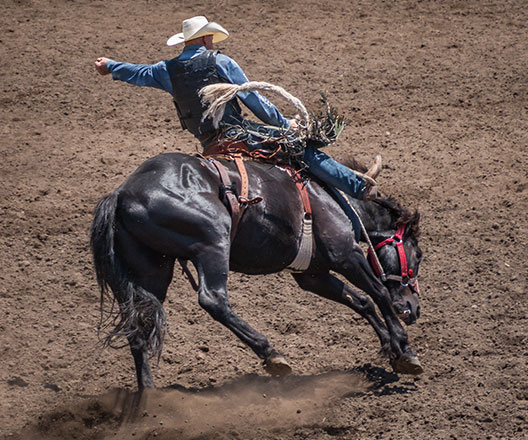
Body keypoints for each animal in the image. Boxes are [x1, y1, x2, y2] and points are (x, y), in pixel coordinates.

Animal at [88, 150, 422, 388]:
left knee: (139, 324)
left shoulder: (312, 275)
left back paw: (149, 395)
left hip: (151, 269)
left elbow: (361, 300)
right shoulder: (347, 255)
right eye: (417, 255)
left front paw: (390, 347)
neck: (335, 199)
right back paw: (272, 354)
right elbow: (378, 292)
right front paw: (404, 348)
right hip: (212, 242)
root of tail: (121, 193)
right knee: (213, 299)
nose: (414, 308)